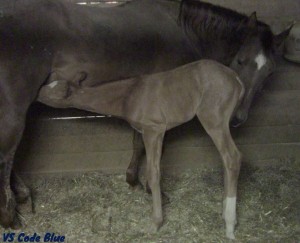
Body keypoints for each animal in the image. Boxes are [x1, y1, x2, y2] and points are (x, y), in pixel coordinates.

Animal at [37, 59, 244, 238]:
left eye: (51, 93)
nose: (36, 93)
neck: (129, 96)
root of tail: (235, 77)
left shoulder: (153, 129)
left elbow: (153, 173)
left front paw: (155, 223)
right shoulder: (146, 131)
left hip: (214, 119)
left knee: (232, 157)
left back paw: (229, 225)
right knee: (226, 160)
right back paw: (225, 214)